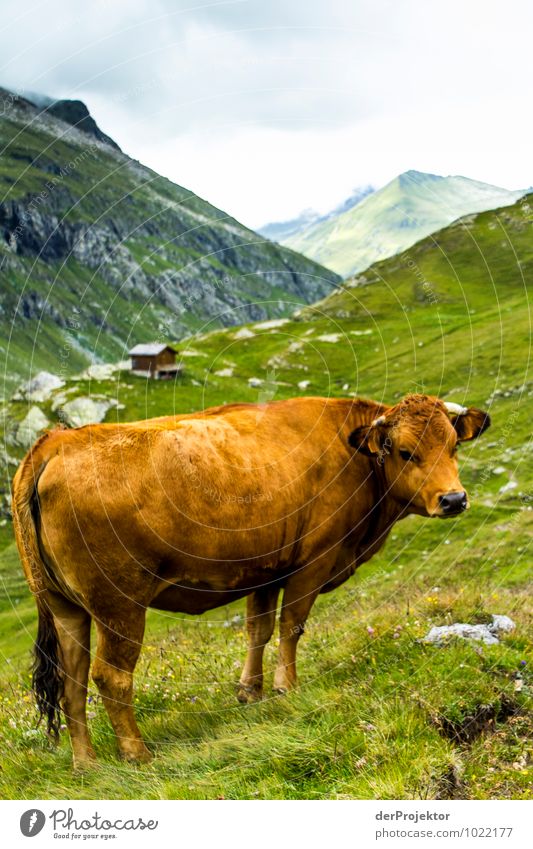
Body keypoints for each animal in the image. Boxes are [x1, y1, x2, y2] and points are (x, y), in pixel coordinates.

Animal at [11, 394, 486, 764]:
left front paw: (249, 691)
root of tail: (56, 441)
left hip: (63, 606)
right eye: (405, 451)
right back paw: (136, 753)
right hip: (119, 604)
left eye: (452, 446)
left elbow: (258, 629)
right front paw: (285, 687)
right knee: (111, 676)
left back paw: (86, 763)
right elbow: (291, 626)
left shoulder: (266, 570)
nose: (454, 499)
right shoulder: (313, 561)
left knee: (71, 681)